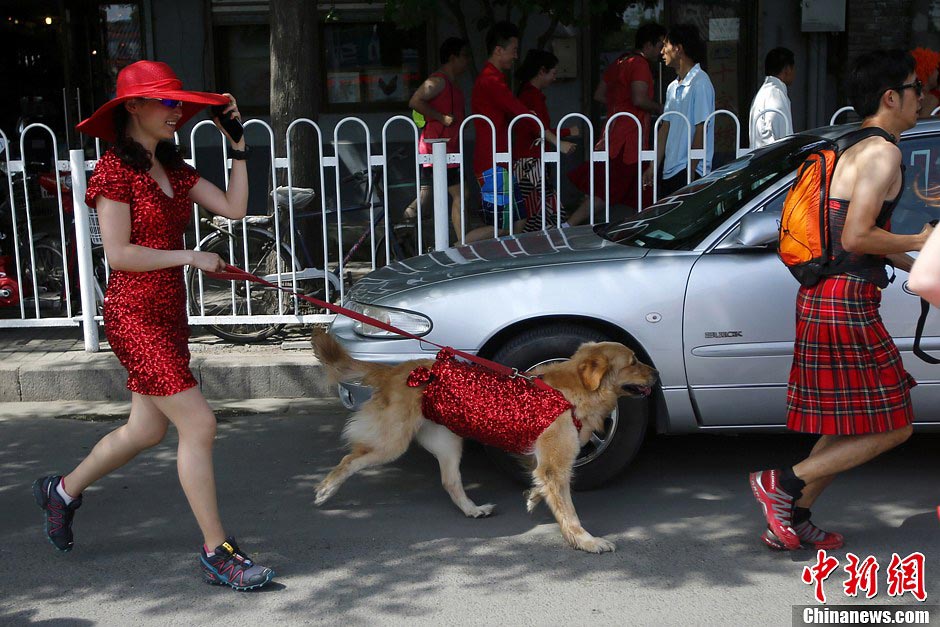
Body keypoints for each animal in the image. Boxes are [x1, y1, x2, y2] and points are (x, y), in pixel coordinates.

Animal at [312, 334, 656, 556]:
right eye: (633, 361)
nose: (656, 373)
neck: (573, 392)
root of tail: (396, 370)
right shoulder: (555, 464)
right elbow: (568, 511)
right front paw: (586, 541)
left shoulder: (543, 462)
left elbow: (540, 482)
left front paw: (533, 496)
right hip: (392, 442)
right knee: (350, 459)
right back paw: (326, 489)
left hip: (449, 444)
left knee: (450, 482)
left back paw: (473, 509)